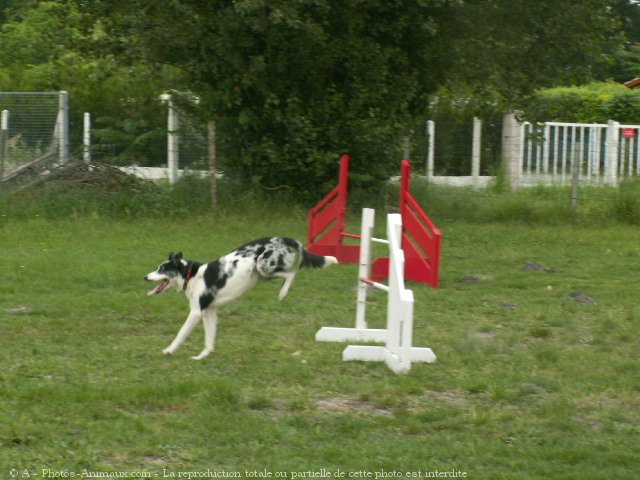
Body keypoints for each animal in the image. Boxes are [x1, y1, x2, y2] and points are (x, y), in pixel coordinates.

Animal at [143, 236, 338, 360]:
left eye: (162, 269)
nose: (145, 277)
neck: (191, 275)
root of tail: (285, 238)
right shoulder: (209, 313)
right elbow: (209, 339)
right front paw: (202, 356)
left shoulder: (196, 312)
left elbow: (181, 334)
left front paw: (169, 350)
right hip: (262, 274)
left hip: (263, 266)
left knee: (291, 273)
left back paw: (283, 292)